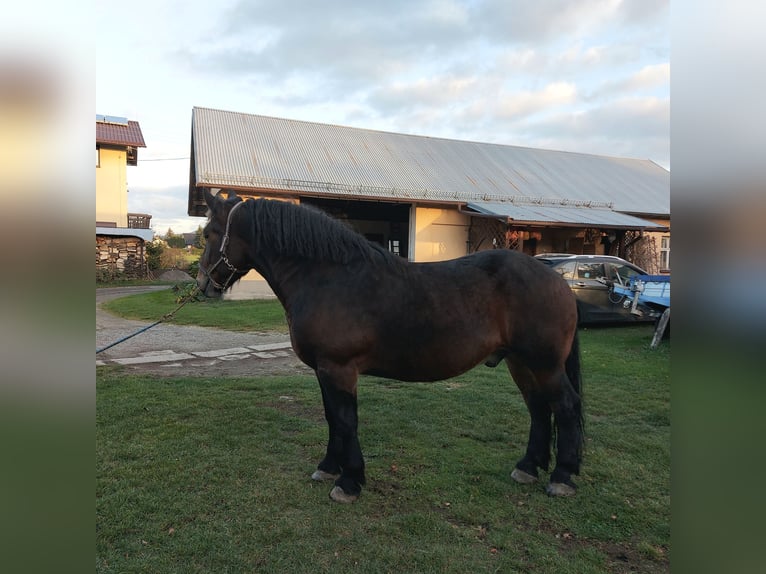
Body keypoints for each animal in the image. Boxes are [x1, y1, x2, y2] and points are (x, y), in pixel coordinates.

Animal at [195, 192, 584, 504]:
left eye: (209, 233)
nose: (202, 284)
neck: (327, 277)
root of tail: (557, 280)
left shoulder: (339, 369)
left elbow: (346, 420)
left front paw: (349, 482)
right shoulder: (324, 370)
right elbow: (332, 418)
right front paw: (328, 468)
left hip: (545, 365)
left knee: (563, 406)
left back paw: (562, 477)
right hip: (521, 363)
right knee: (538, 409)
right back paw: (528, 468)